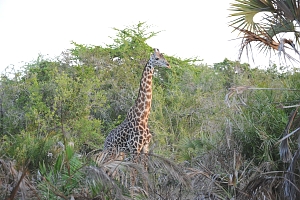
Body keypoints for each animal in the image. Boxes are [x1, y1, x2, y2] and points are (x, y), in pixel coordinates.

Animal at [102, 48, 169, 177]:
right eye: (157, 58)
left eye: (164, 56)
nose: (168, 64)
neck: (143, 116)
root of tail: (105, 140)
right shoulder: (135, 149)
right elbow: (134, 173)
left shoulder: (145, 148)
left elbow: (145, 171)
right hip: (111, 152)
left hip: (120, 154)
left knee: (112, 172)